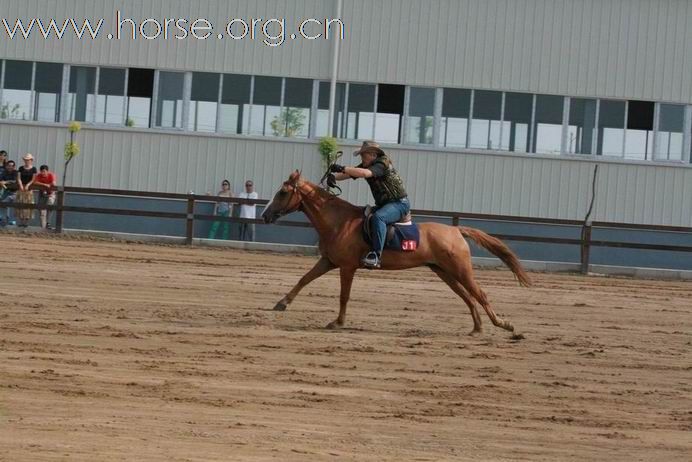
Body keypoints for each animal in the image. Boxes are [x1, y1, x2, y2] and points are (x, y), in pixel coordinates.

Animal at [262, 171, 532, 334]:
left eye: (283, 192)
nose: (265, 215)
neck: (339, 221)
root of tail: (456, 230)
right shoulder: (328, 261)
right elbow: (304, 279)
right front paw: (281, 303)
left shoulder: (347, 267)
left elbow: (343, 296)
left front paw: (338, 322)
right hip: (444, 272)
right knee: (467, 297)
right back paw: (477, 327)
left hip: (461, 270)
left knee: (480, 294)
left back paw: (504, 325)